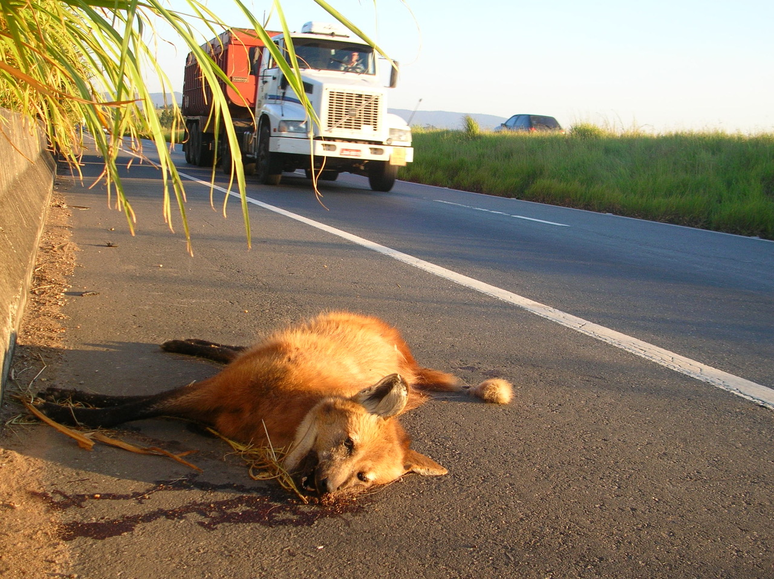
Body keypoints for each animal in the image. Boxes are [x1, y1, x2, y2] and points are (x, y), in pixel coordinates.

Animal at [38, 310, 516, 496]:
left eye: (362, 478)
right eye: (347, 443)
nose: (326, 490)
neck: (277, 406)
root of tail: (404, 351)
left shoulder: (218, 405)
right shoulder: (214, 390)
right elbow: (127, 408)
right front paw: (64, 407)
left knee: (230, 351)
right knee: (230, 351)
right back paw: (184, 343)